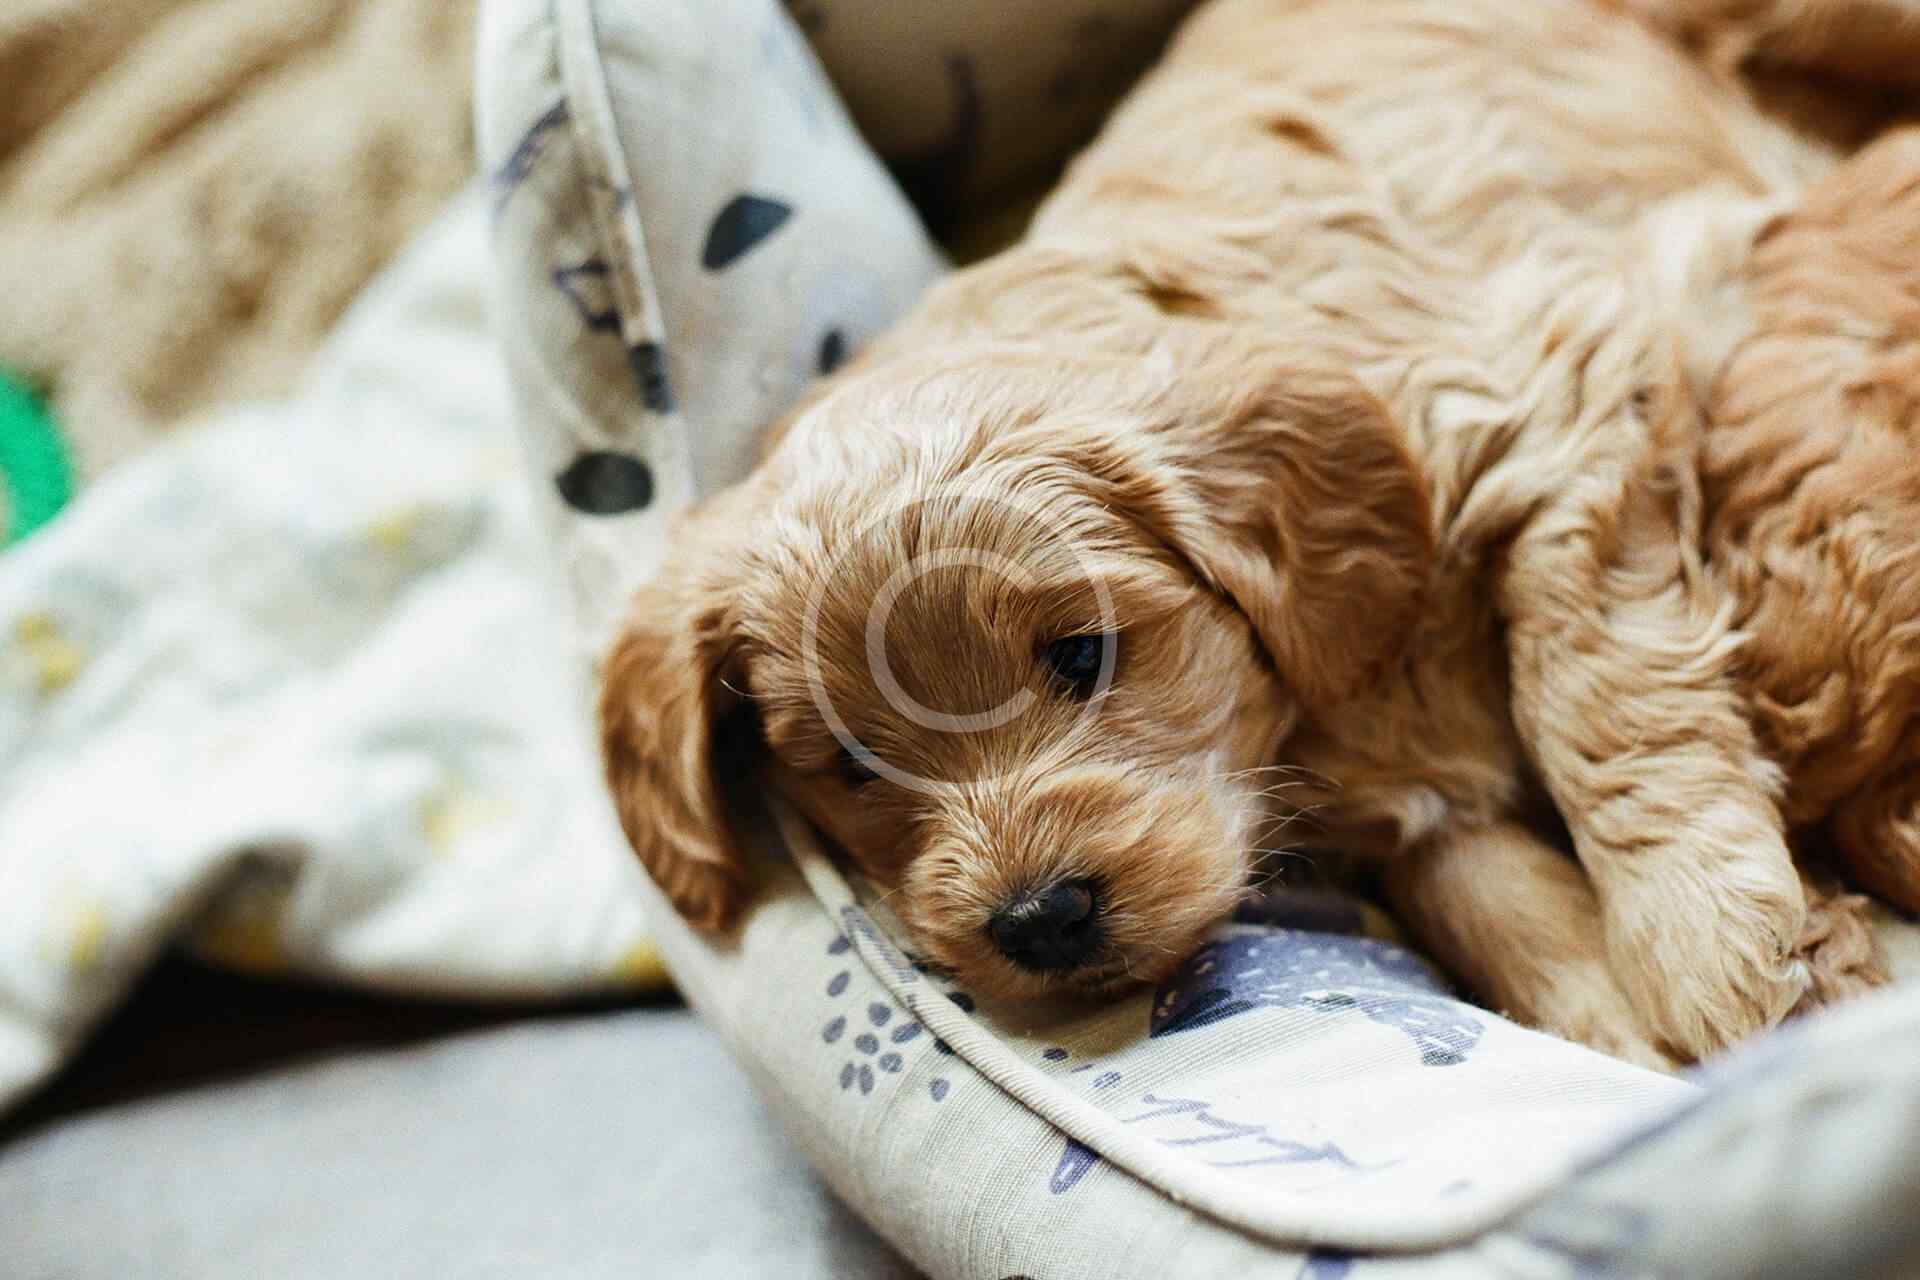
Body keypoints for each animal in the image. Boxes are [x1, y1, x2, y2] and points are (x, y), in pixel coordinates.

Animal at [599, 0, 1918, 1067]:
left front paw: (1709, 933)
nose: (1039, 920)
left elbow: (1600, 691)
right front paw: (1623, 1019)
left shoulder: (1571, 396)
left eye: (1083, 654)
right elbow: (1484, 888)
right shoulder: (1415, 809)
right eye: (853, 768)